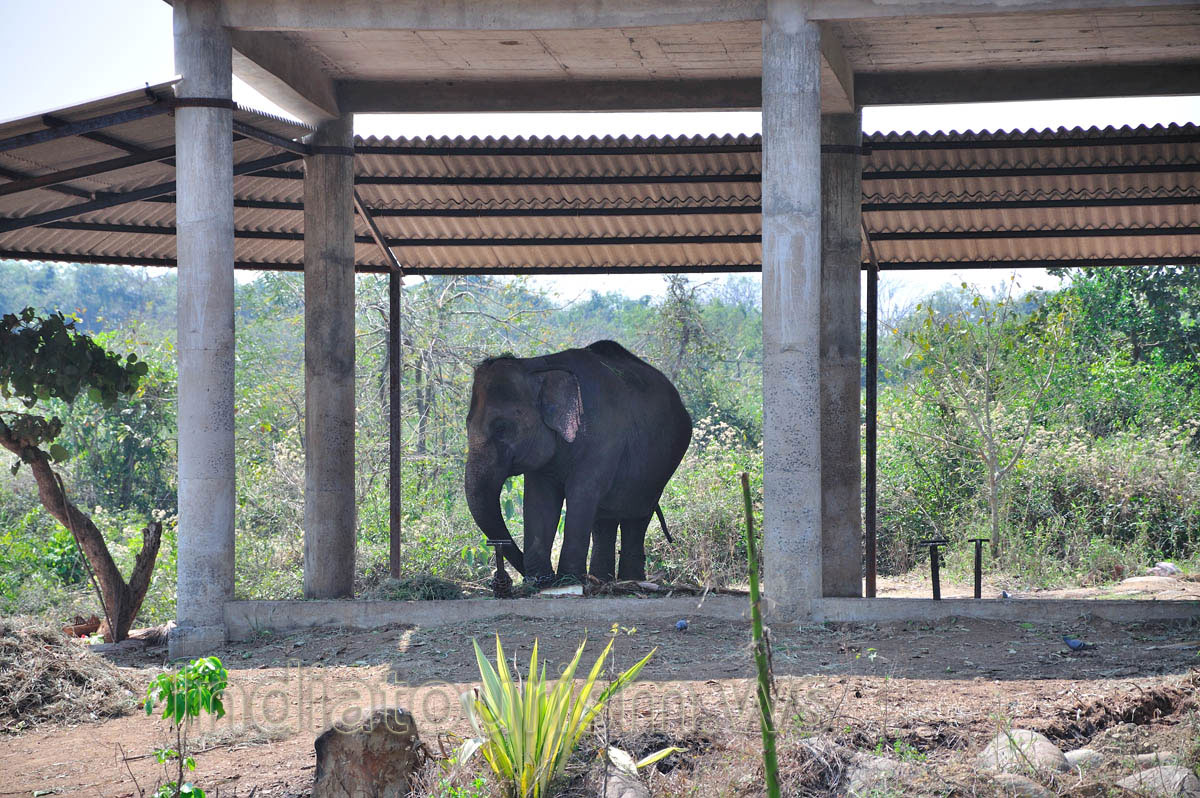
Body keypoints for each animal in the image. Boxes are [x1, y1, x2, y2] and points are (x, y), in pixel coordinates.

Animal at [464, 340, 692, 586]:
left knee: (637, 517)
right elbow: (538, 500)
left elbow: (581, 493)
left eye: (501, 428)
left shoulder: (603, 437)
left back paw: (628, 581)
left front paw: (567, 580)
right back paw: (602, 580)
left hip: (659, 469)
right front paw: (540, 582)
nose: (504, 579)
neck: (538, 365)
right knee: (604, 521)